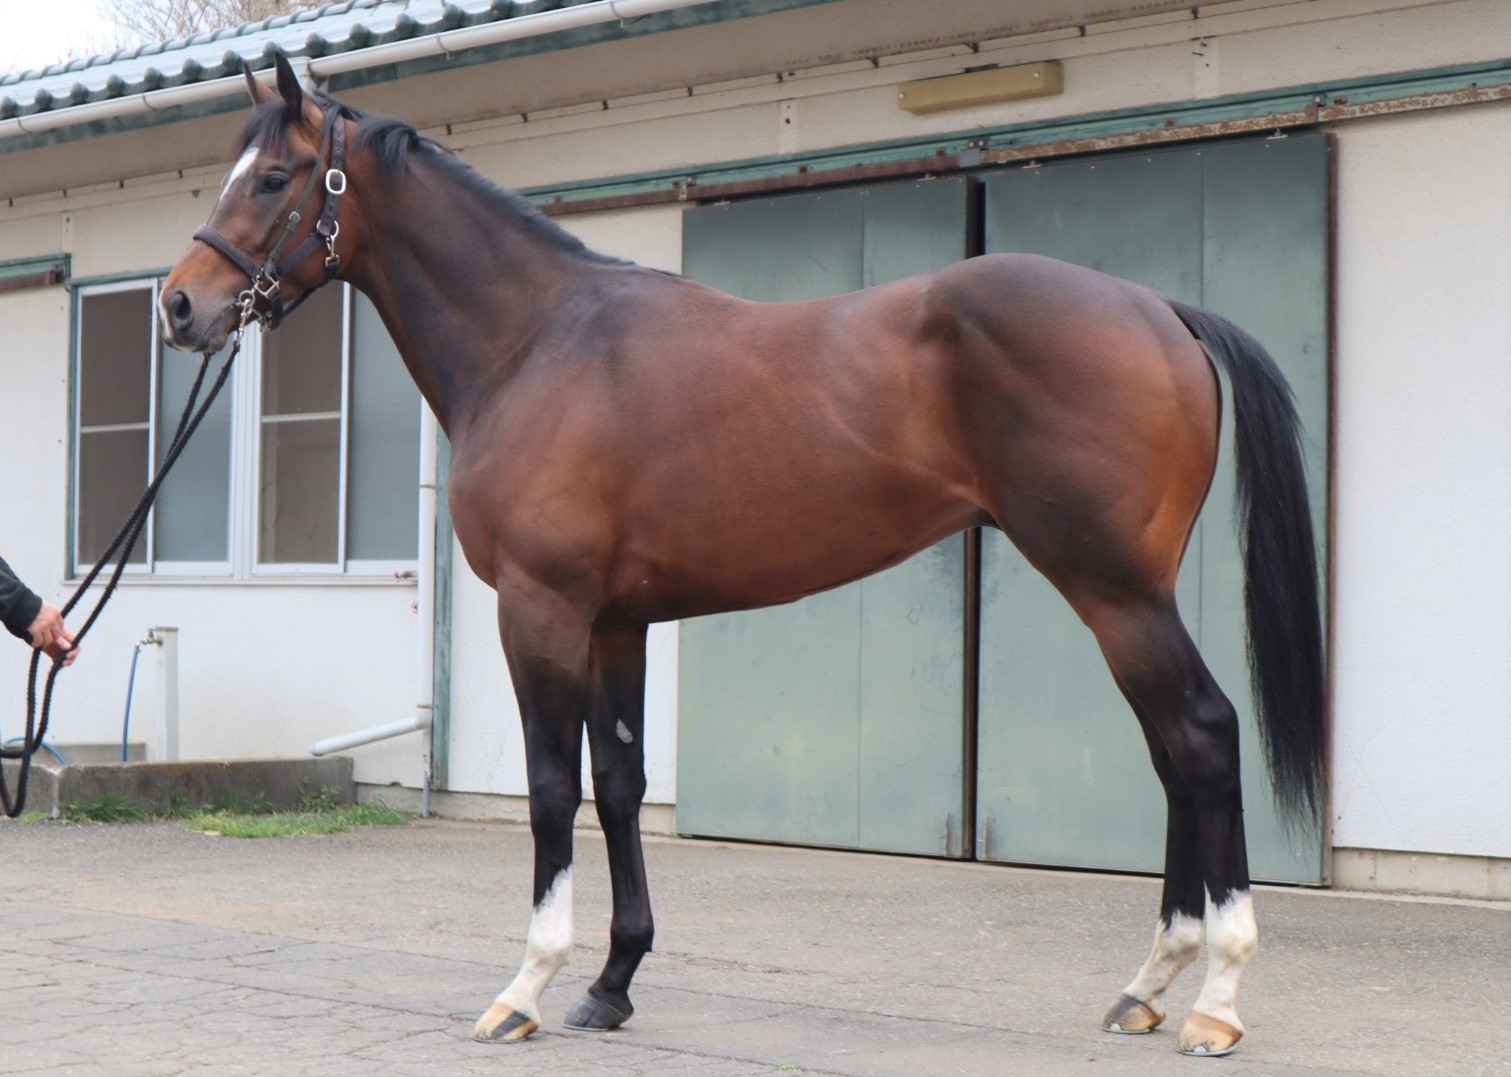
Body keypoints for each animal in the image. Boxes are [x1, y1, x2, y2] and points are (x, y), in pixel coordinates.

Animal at [160, 53, 1324, 1058]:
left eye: (273, 177)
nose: (179, 305)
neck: (538, 342)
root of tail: (1157, 307)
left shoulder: (540, 609)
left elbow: (549, 789)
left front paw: (524, 988)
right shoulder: (616, 620)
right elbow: (618, 783)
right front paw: (610, 985)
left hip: (1113, 590)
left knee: (1201, 738)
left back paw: (1215, 999)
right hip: (1127, 595)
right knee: (1172, 754)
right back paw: (1148, 984)